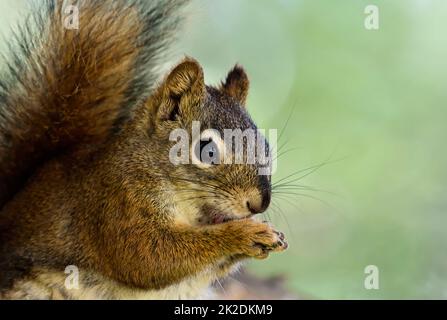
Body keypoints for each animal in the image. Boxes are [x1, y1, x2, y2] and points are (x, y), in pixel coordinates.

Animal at [0, 0, 288, 300]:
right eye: (207, 150)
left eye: (265, 146)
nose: (259, 204)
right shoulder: (116, 204)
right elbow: (147, 255)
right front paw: (244, 233)